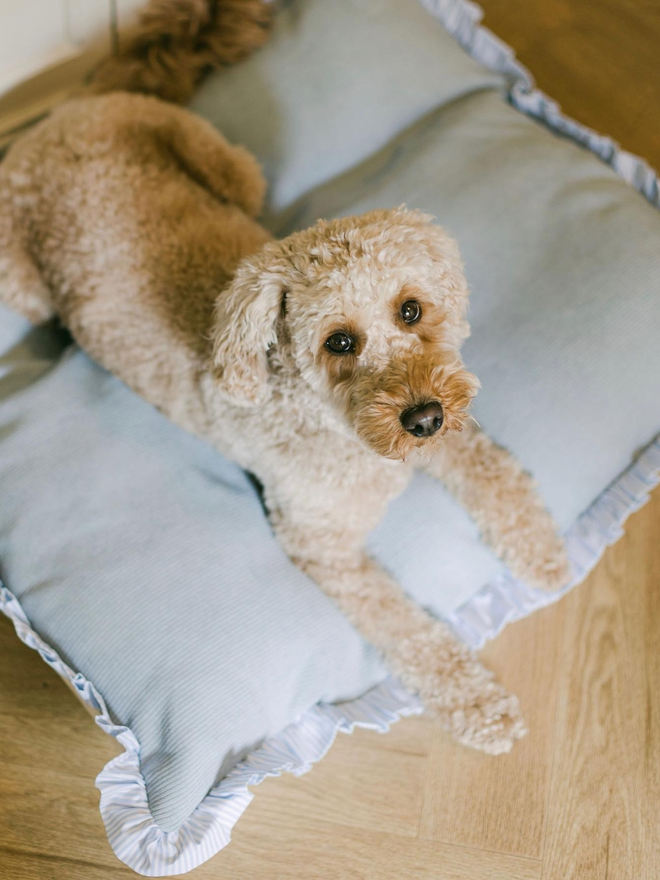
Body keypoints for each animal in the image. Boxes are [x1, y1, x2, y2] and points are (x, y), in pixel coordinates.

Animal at [0, 0, 568, 756]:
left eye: (411, 309)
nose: (422, 419)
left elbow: (497, 473)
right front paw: (481, 705)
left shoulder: (451, 430)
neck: (339, 431)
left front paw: (544, 556)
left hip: (232, 167)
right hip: (23, 282)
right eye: (339, 342)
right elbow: (409, 632)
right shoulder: (320, 548)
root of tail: (68, 110)